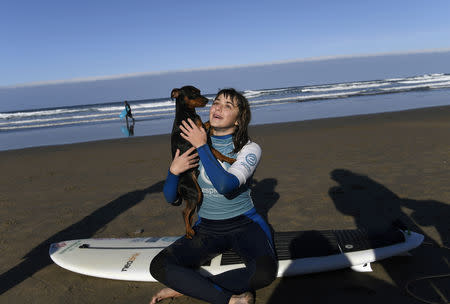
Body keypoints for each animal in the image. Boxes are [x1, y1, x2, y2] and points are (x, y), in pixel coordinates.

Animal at [171, 85, 236, 238]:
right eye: (193, 93)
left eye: (199, 91)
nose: (207, 100)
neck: (187, 115)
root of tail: (179, 187)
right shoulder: (200, 141)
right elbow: (217, 151)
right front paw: (229, 159)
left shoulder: (202, 133)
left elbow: (208, 124)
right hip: (195, 192)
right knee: (185, 212)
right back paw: (189, 231)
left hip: (193, 195)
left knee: (189, 214)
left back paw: (190, 230)